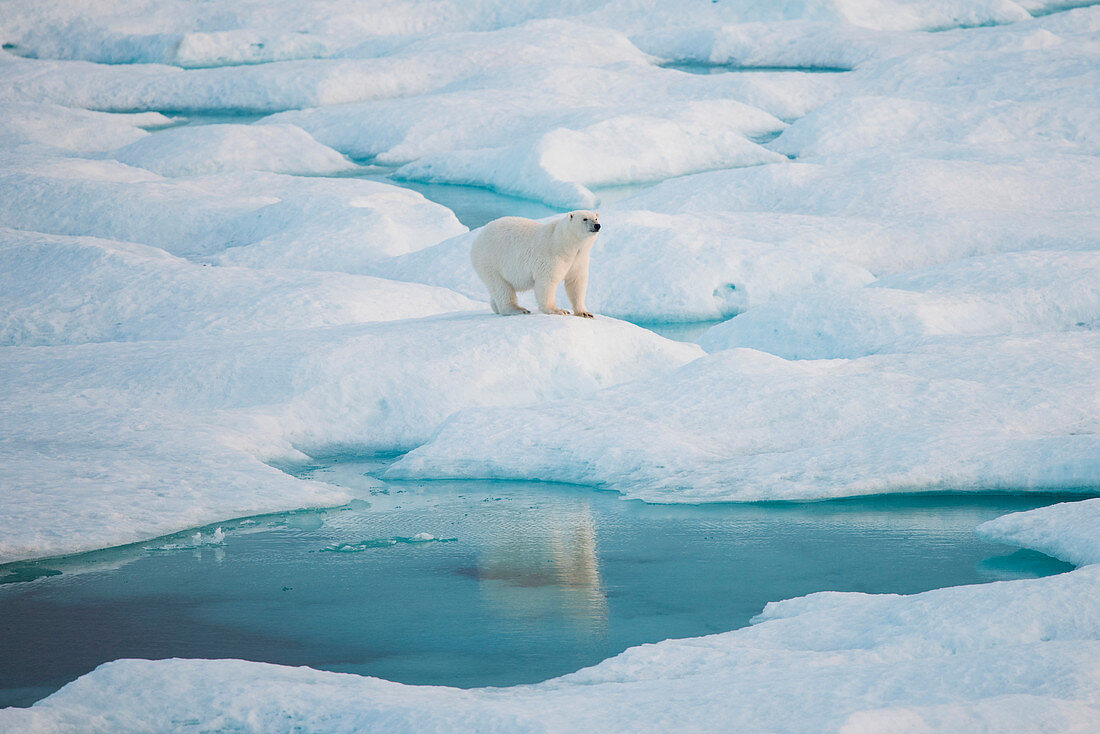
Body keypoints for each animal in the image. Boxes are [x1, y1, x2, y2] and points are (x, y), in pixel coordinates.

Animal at [466, 211, 598, 316]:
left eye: (596, 218)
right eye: (585, 218)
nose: (597, 225)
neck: (565, 244)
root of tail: (477, 240)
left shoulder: (579, 259)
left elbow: (576, 282)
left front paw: (585, 313)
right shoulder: (552, 256)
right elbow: (547, 282)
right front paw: (559, 310)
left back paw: (495, 306)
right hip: (491, 261)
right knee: (501, 286)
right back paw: (518, 309)